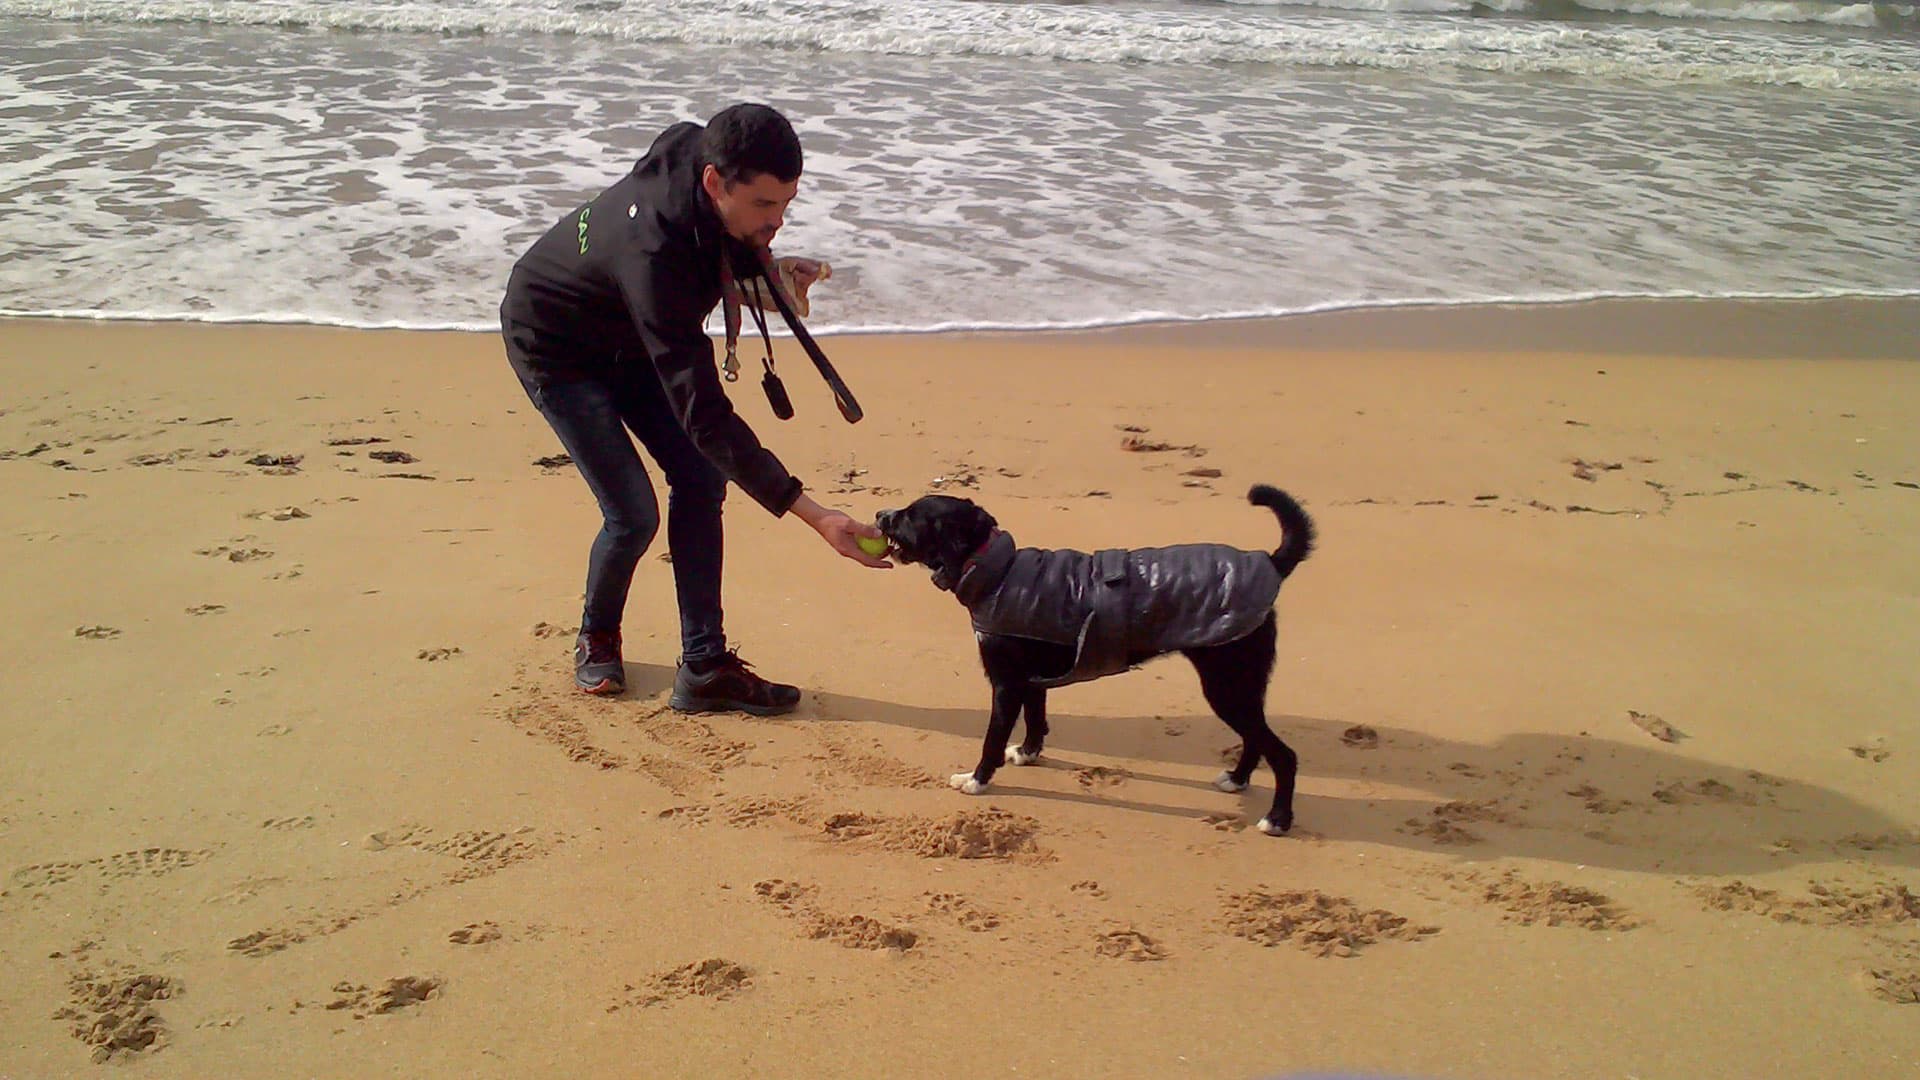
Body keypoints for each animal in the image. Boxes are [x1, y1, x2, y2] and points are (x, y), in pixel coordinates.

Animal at [875, 484, 1313, 826]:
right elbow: (1036, 720)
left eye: (911, 516)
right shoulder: (1031, 681)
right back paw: (1237, 780)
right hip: (1243, 687)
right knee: (1256, 740)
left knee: (1284, 755)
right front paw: (1028, 754)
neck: (994, 567)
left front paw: (976, 780)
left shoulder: (1006, 684)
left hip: (1227, 687)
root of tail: (1270, 561)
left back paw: (1278, 818)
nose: (880, 514)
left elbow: (992, 740)